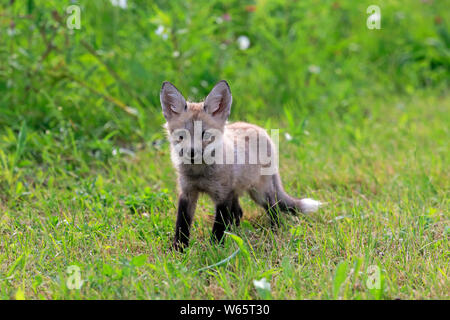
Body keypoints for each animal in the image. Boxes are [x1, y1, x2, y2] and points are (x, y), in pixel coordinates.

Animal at [160, 79, 322, 250]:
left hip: (260, 193)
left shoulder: (223, 196)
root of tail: (261, 130)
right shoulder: (187, 193)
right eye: (181, 136)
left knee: (274, 209)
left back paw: (275, 231)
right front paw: (179, 250)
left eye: (206, 135)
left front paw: (216, 249)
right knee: (238, 212)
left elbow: (218, 227)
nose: (191, 153)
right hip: (237, 192)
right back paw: (235, 232)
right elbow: (182, 225)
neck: (200, 173)